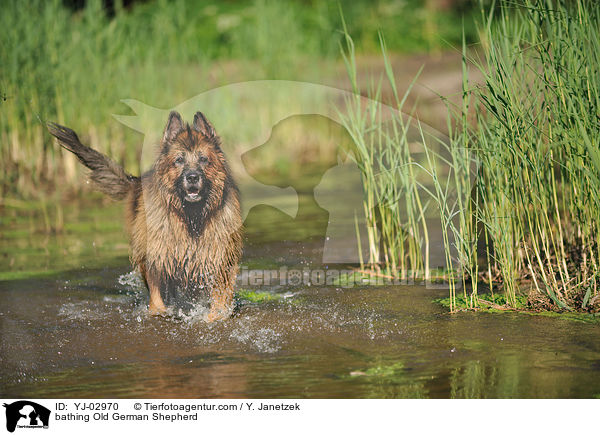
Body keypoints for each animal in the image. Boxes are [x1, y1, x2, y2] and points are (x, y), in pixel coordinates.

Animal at [48, 111, 243, 324]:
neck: (192, 217)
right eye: (179, 160)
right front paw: (160, 313)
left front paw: (215, 316)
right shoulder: (157, 259)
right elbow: (157, 299)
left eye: (203, 159)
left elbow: (221, 299)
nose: (192, 177)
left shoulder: (221, 261)